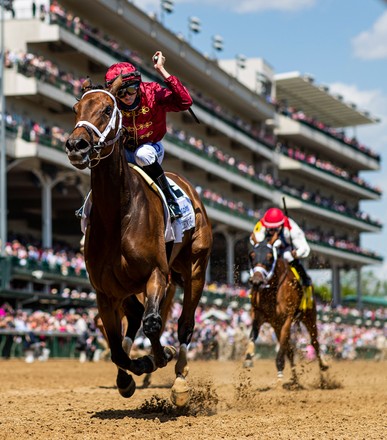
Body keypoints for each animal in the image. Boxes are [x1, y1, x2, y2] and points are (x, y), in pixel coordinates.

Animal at [65, 76, 214, 406]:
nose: (76, 145)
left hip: (195, 267)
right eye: (76, 108)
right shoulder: (105, 292)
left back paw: (180, 377)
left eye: (108, 109)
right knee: (136, 319)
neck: (118, 215)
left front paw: (159, 361)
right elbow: (117, 347)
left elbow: (153, 323)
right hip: (129, 286)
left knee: (183, 324)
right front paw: (134, 372)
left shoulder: (156, 273)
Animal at [244, 234, 328, 384]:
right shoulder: (258, 315)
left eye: (270, 256)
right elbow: (253, 335)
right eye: (252, 255)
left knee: (314, 341)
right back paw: (295, 380)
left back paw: (323, 366)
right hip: (276, 325)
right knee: (289, 349)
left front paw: (279, 377)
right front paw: (248, 358)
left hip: (309, 316)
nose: (256, 281)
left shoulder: (287, 318)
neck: (271, 291)